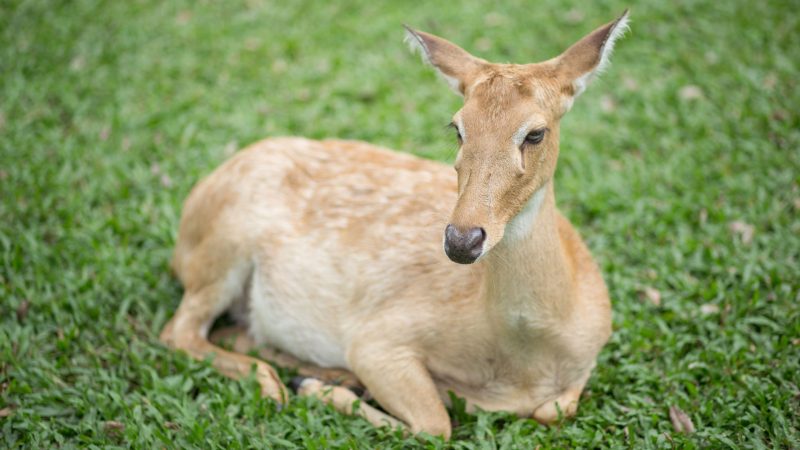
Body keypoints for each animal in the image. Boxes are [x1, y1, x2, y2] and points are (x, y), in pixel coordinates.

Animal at [159, 10, 628, 440]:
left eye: (535, 133)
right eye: (457, 128)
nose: (462, 239)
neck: (527, 362)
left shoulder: (585, 363)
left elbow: (555, 409)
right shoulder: (379, 337)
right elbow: (436, 425)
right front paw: (319, 388)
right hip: (221, 248)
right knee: (178, 331)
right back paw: (290, 384)